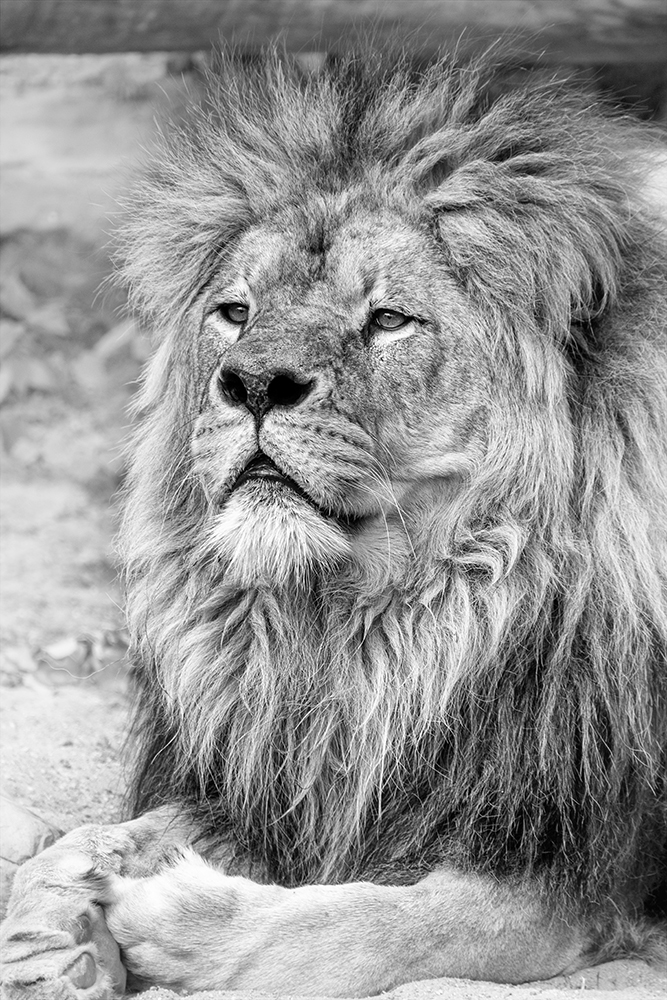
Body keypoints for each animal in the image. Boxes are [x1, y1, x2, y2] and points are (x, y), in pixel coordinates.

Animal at [1, 48, 666, 999]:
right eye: (234, 313)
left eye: (388, 320)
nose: (252, 382)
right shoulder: (280, 778)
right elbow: (100, 837)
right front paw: (55, 929)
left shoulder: (566, 876)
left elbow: (358, 924)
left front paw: (172, 918)